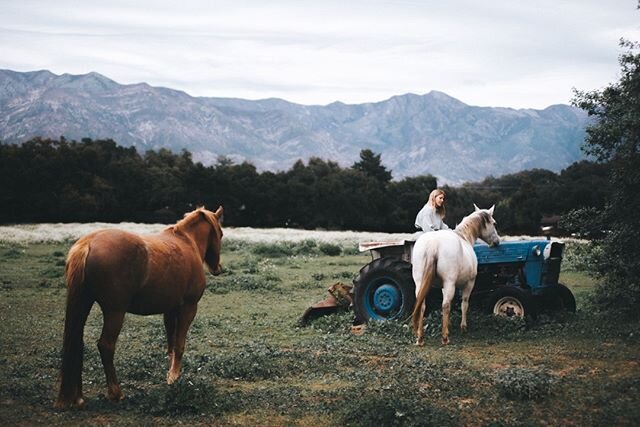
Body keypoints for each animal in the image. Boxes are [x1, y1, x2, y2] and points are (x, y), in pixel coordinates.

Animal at [55, 206, 225, 408]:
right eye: (220, 234)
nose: (218, 268)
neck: (187, 242)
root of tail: (88, 244)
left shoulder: (170, 309)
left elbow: (171, 345)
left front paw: (169, 375)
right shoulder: (188, 308)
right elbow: (179, 344)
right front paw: (175, 377)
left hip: (84, 303)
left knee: (77, 342)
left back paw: (78, 397)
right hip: (115, 312)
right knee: (106, 345)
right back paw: (116, 393)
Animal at [410, 205, 500, 348]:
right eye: (494, 223)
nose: (497, 242)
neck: (464, 237)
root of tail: (433, 243)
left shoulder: (443, 287)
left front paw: (449, 326)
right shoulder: (469, 283)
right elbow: (464, 303)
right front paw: (463, 327)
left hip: (420, 284)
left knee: (422, 306)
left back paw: (420, 338)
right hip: (450, 283)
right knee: (445, 305)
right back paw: (445, 338)